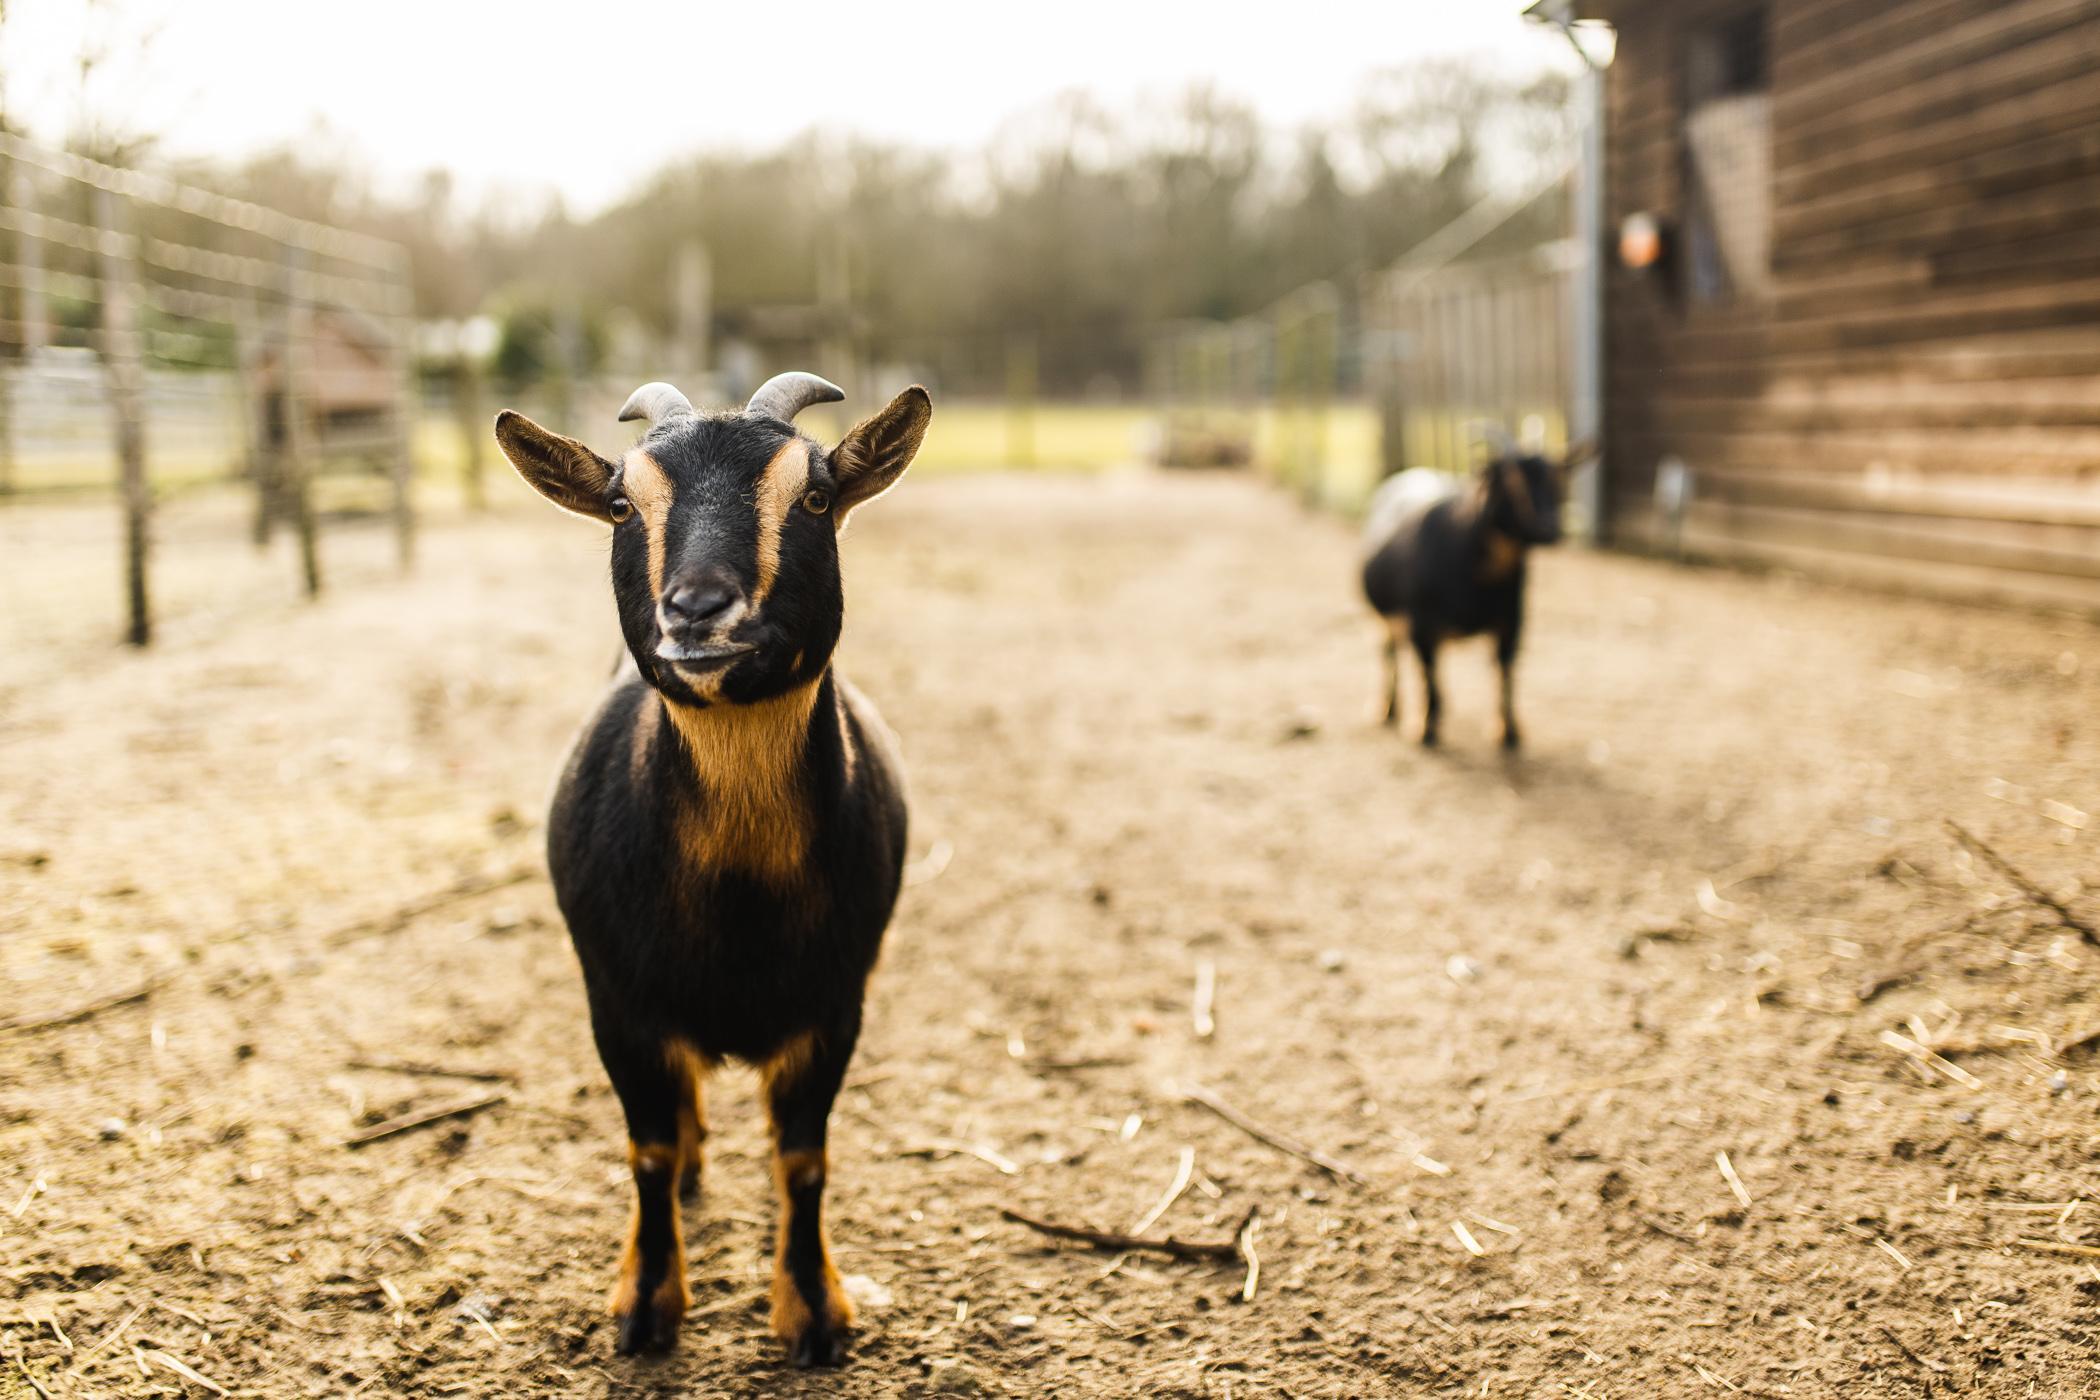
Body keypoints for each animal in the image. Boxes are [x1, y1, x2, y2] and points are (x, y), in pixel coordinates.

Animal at [493, 372, 931, 1367]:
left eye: (816, 498)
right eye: (623, 505)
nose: (697, 610)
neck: (738, 904)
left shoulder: (835, 1004)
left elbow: (802, 1157)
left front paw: (813, 1312)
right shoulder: (617, 1004)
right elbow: (649, 1153)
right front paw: (646, 1306)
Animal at [1360, 450, 1567, 749]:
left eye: (1555, 480)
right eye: (1511, 482)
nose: (1550, 528)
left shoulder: (1512, 623)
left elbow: (1504, 674)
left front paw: (1509, 731)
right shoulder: (1419, 625)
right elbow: (1429, 675)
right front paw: (1424, 728)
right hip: (1384, 618)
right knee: (1390, 653)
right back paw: (1388, 709)